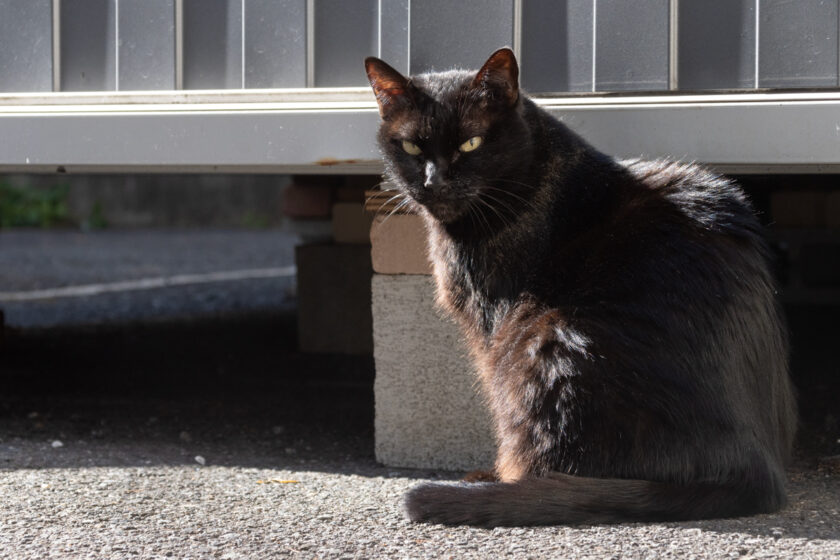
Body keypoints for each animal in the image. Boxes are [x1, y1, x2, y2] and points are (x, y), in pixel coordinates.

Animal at [364, 48, 796, 524]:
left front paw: (496, 475)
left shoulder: (492, 326)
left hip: (541, 340)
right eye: (411, 146)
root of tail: (756, 469)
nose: (432, 182)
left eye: (470, 144)